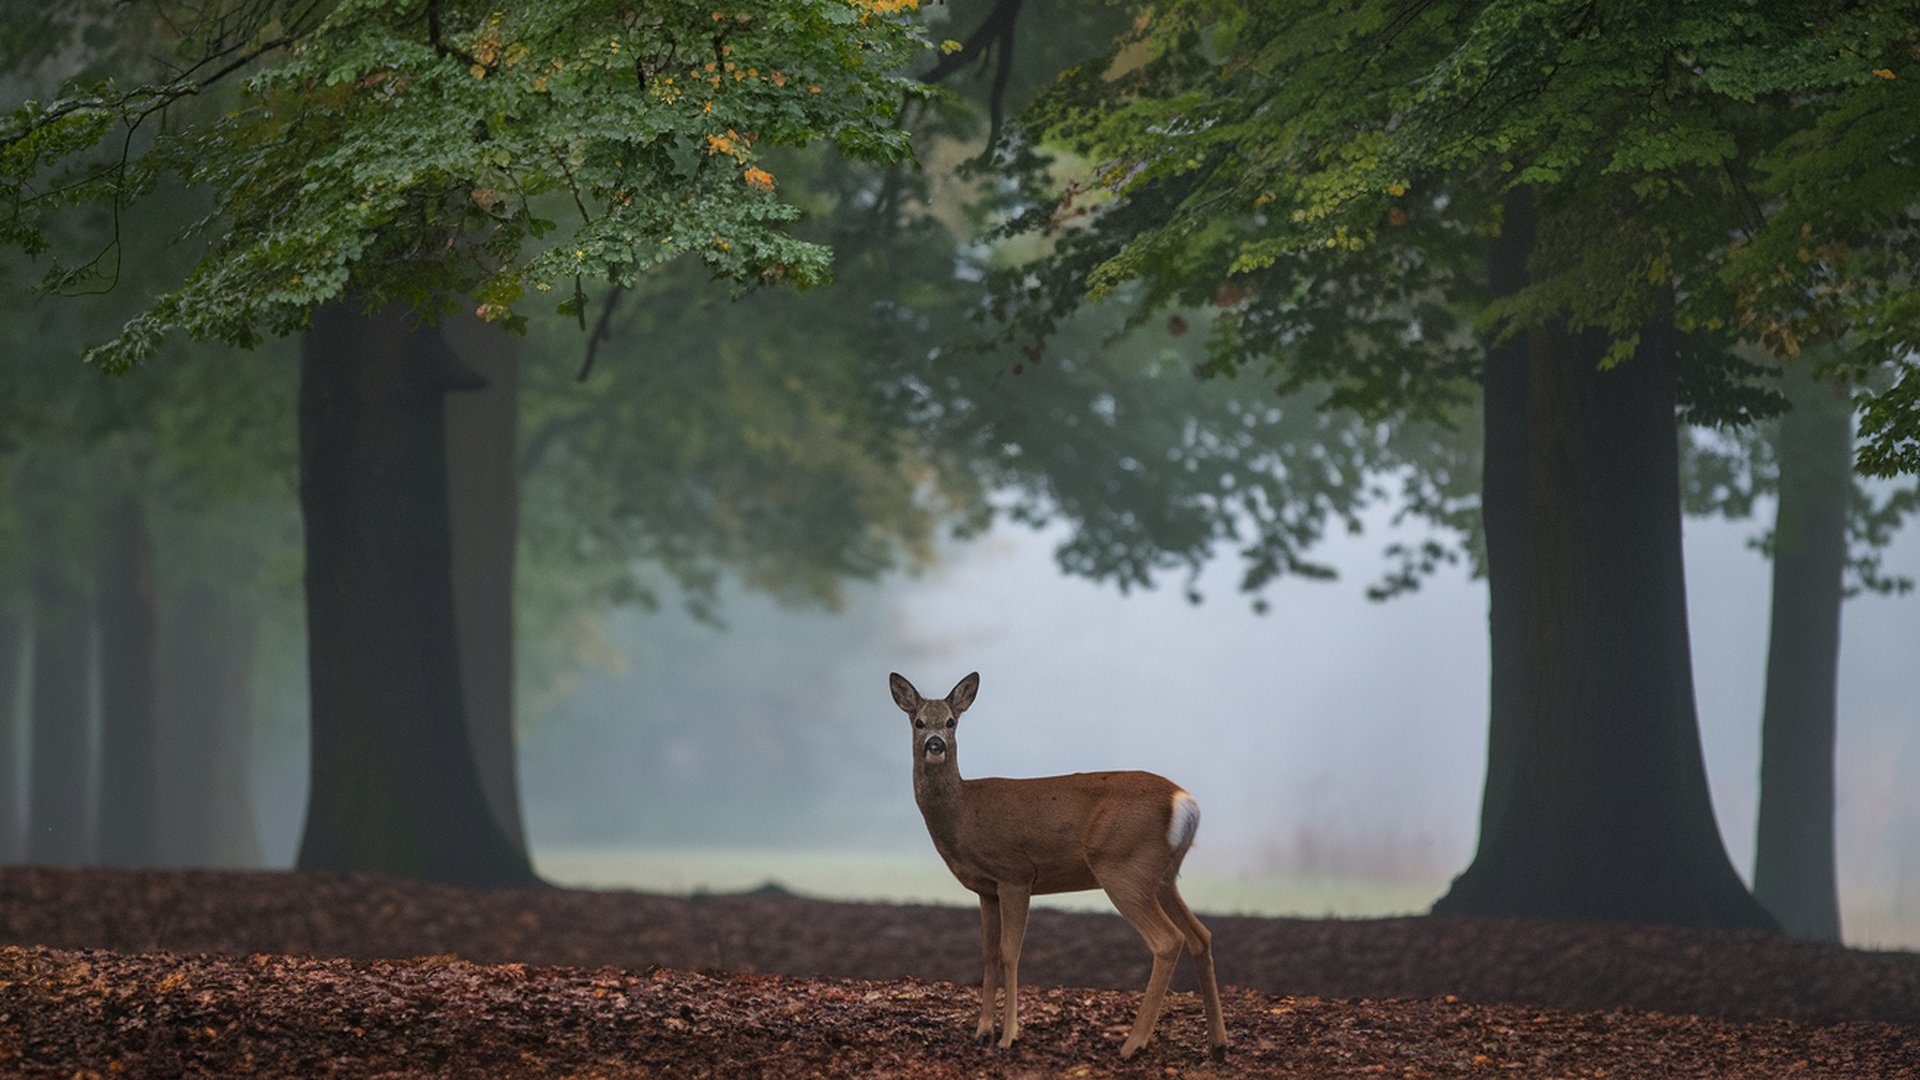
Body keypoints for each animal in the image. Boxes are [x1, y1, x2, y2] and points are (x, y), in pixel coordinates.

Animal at [887, 668, 1228, 1053]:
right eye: (918, 721)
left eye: (950, 721)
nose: (935, 745)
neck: (964, 813)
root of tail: (1185, 802)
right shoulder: (986, 889)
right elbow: (988, 953)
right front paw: (982, 1031)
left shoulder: (1015, 873)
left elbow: (1009, 952)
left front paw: (1008, 1035)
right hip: (1163, 876)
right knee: (1201, 935)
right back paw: (1217, 1044)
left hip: (1124, 865)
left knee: (1168, 940)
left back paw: (1133, 1044)